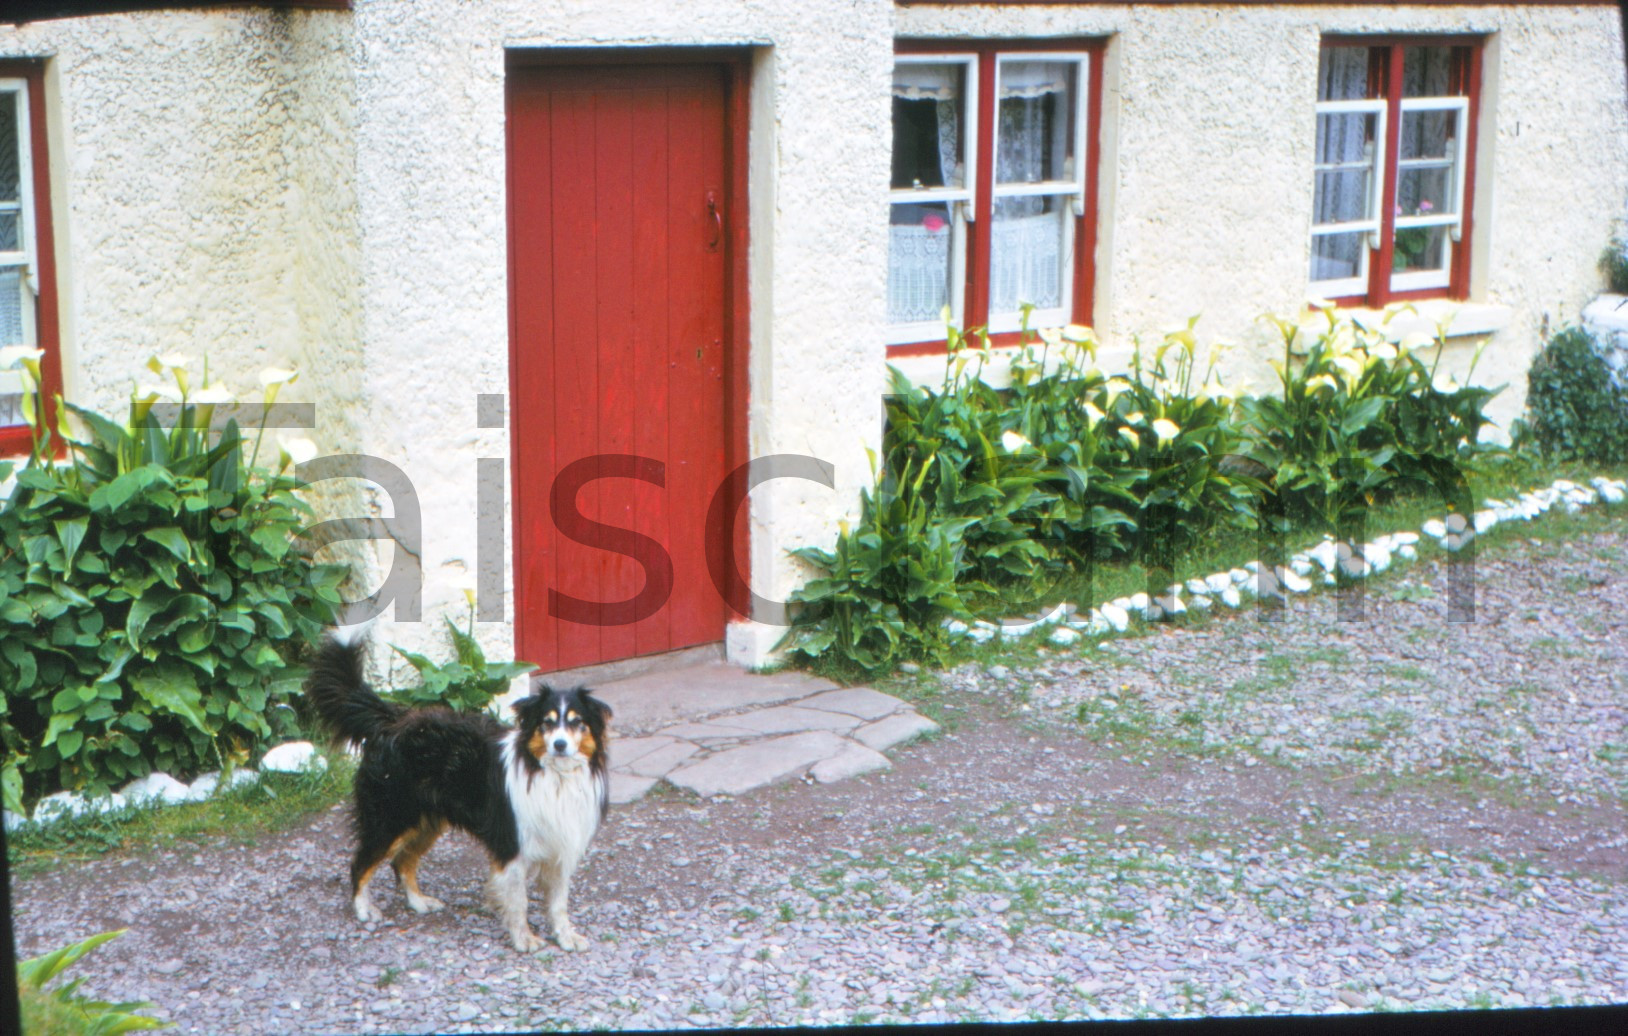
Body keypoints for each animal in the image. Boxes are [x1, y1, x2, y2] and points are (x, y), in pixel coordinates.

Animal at [304, 628, 612, 951]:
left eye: (578, 722)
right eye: (546, 723)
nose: (560, 745)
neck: (552, 774)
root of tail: (391, 721)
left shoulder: (560, 847)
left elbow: (558, 903)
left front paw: (566, 936)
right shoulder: (512, 844)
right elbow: (519, 901)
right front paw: (524, 939)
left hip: (426, 821)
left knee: (402, 862)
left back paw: (419, 902)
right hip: (390, 818)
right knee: (360, 863)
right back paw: (364, 908)